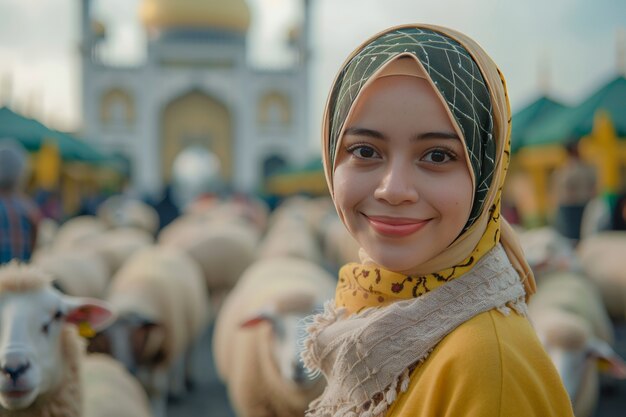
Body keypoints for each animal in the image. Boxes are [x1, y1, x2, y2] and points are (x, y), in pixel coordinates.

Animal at [89, 245, 208, 414]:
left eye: (135, 334)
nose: (128, 369)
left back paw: (183, 383)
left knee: (186, 354)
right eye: (108, 338)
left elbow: (157, 388)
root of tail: (161, 248)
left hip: (188, 331)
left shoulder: (163, 353)